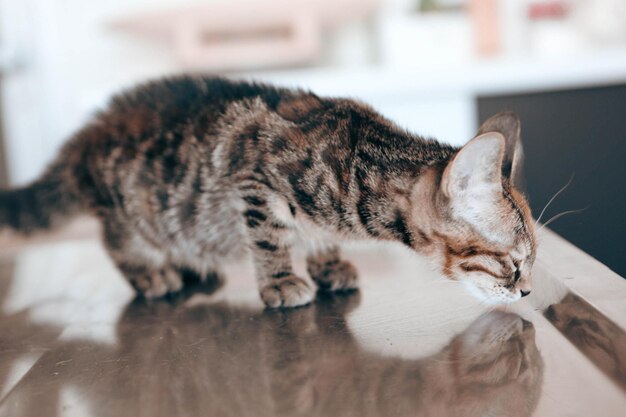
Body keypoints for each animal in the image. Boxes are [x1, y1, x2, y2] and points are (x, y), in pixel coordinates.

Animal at [0, 76, 536, 308]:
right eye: (511, 264)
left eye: (530, 263)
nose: (527, 290)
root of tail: (82, 139)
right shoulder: (253, 179)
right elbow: (270, 236)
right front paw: (280, 281)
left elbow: (317, 235)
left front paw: (327, 262)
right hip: (129, 210)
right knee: (117, 242)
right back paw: (153, 274)